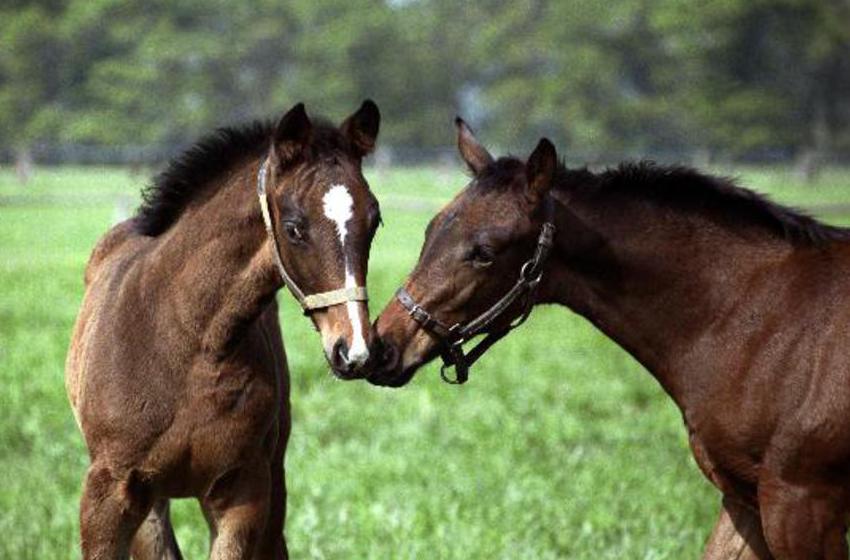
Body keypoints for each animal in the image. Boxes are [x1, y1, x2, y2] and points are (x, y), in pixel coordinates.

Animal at [65, 101, 380, 560]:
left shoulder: (242, 490)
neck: (185, 341)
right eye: (294, 227)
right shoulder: (109, 492)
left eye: (375, 221)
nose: (354, 350)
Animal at [370, 120, 848, 556]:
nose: (382, 348)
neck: (757, 317)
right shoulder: (744, 498)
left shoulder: (800, 505)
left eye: (484, 253)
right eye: (431, 231)